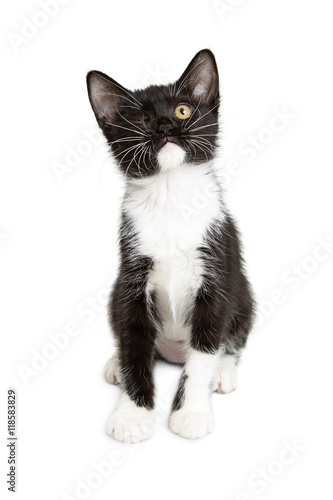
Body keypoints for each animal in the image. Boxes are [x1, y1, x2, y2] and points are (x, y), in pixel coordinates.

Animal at [86, 49, 254, 442]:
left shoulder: (217, 272)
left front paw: (191, 413)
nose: (164, 128)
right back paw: (115, 363)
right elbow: (133, 345)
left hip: (243, 293)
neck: (169, 195)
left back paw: (224, 371)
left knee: (232, 337)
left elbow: (205, 349)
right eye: (141, 119)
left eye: (182, 110)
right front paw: (132, 414)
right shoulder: (131, 279)